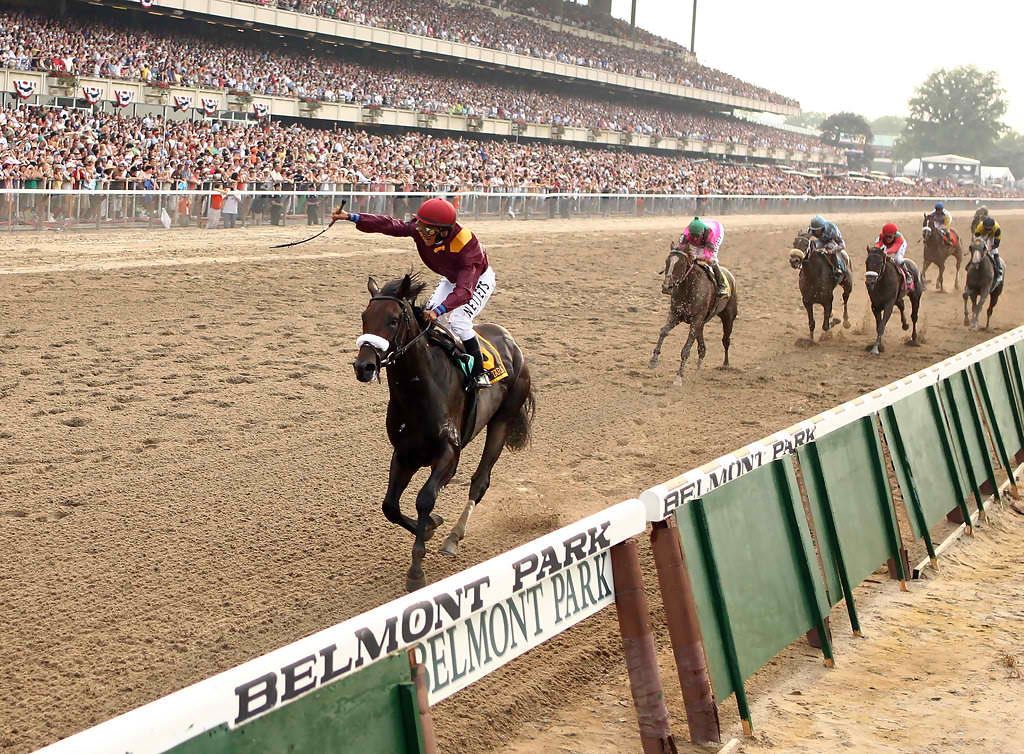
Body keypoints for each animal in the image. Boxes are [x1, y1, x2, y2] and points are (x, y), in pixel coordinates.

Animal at [354, 274, 535, 591]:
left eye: (392, 320)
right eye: (365, 317)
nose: (363, 366)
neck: (420, 393)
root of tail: (511, 341)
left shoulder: (449, 454)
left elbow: (425, 498)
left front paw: (416, 571)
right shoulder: (404, 454)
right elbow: (390, 506)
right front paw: (429, 527)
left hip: (502, 420)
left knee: (480, 482)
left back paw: (454, 537)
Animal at [650, 243, 737, 385]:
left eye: (681, 264)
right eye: (667, 261)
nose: (666, 287)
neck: (688, 288)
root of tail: (731, 277)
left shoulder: (696, 320)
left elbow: (686, 349)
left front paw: (679, 377)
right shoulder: (676, 315)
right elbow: (663, 331)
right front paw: (653, 360)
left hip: (728, 317)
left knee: (726, 340)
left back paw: (725, 364)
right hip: (701, 324)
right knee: (702, 348)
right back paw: (697, 371)